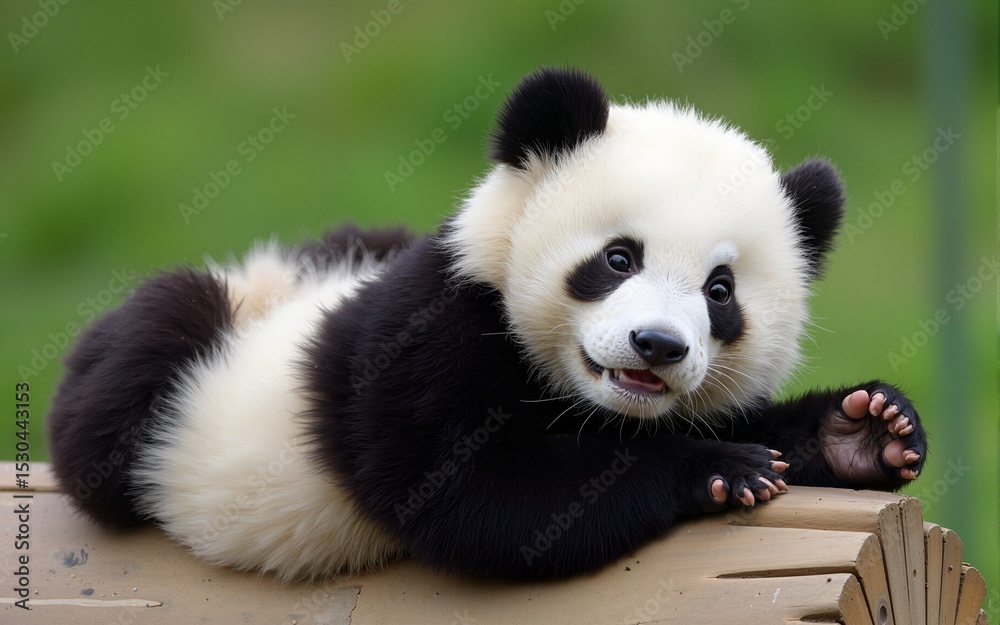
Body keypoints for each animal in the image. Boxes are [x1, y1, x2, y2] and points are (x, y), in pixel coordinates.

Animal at [47, 67, 927, 581]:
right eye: (618, 257)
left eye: (720, 291)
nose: (658, 345)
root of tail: (266, 283)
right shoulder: (426, 336)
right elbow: (484, 499)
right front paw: (721, 466)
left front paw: (864, 429)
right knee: (137, 364)